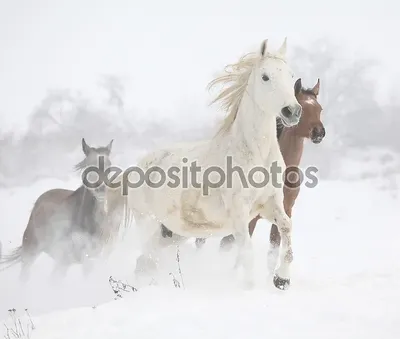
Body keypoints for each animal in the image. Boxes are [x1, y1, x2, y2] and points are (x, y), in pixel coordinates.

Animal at [0, 138, 115, 282]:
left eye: (109, 165)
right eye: (89, 164)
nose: (101, 189)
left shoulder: (95, 258)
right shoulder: (79, 258)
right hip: (31, 251)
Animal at [106, 38, 300, 290]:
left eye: (291, 75)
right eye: (265, 76)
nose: (292, 111)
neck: (255, 154)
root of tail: (135, 168)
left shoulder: (271, 203)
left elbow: (286, 227)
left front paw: (282, 279)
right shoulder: (239, 213)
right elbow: (246, 253)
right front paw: (249, 288)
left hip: (172, 233)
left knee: (146, 263)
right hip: (149, 225)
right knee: (147, 261)